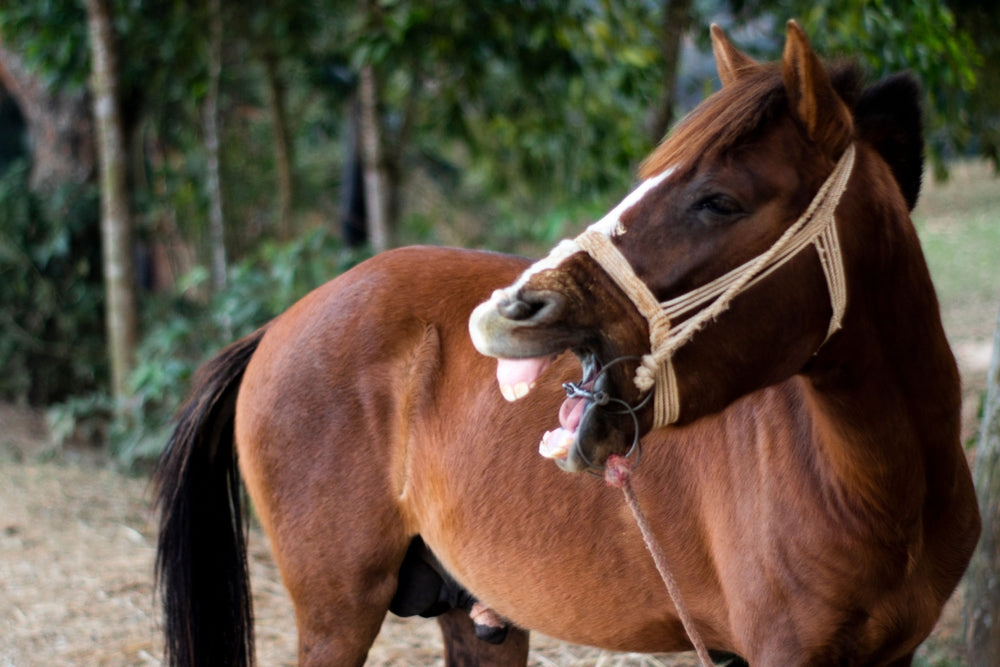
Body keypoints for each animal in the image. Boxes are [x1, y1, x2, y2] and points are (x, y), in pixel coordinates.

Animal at [155, 21, 980, 666]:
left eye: (719, 200)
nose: (515, 308)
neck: (881, 486)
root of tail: (276, 326)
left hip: (475, 615)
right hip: (337, 614)